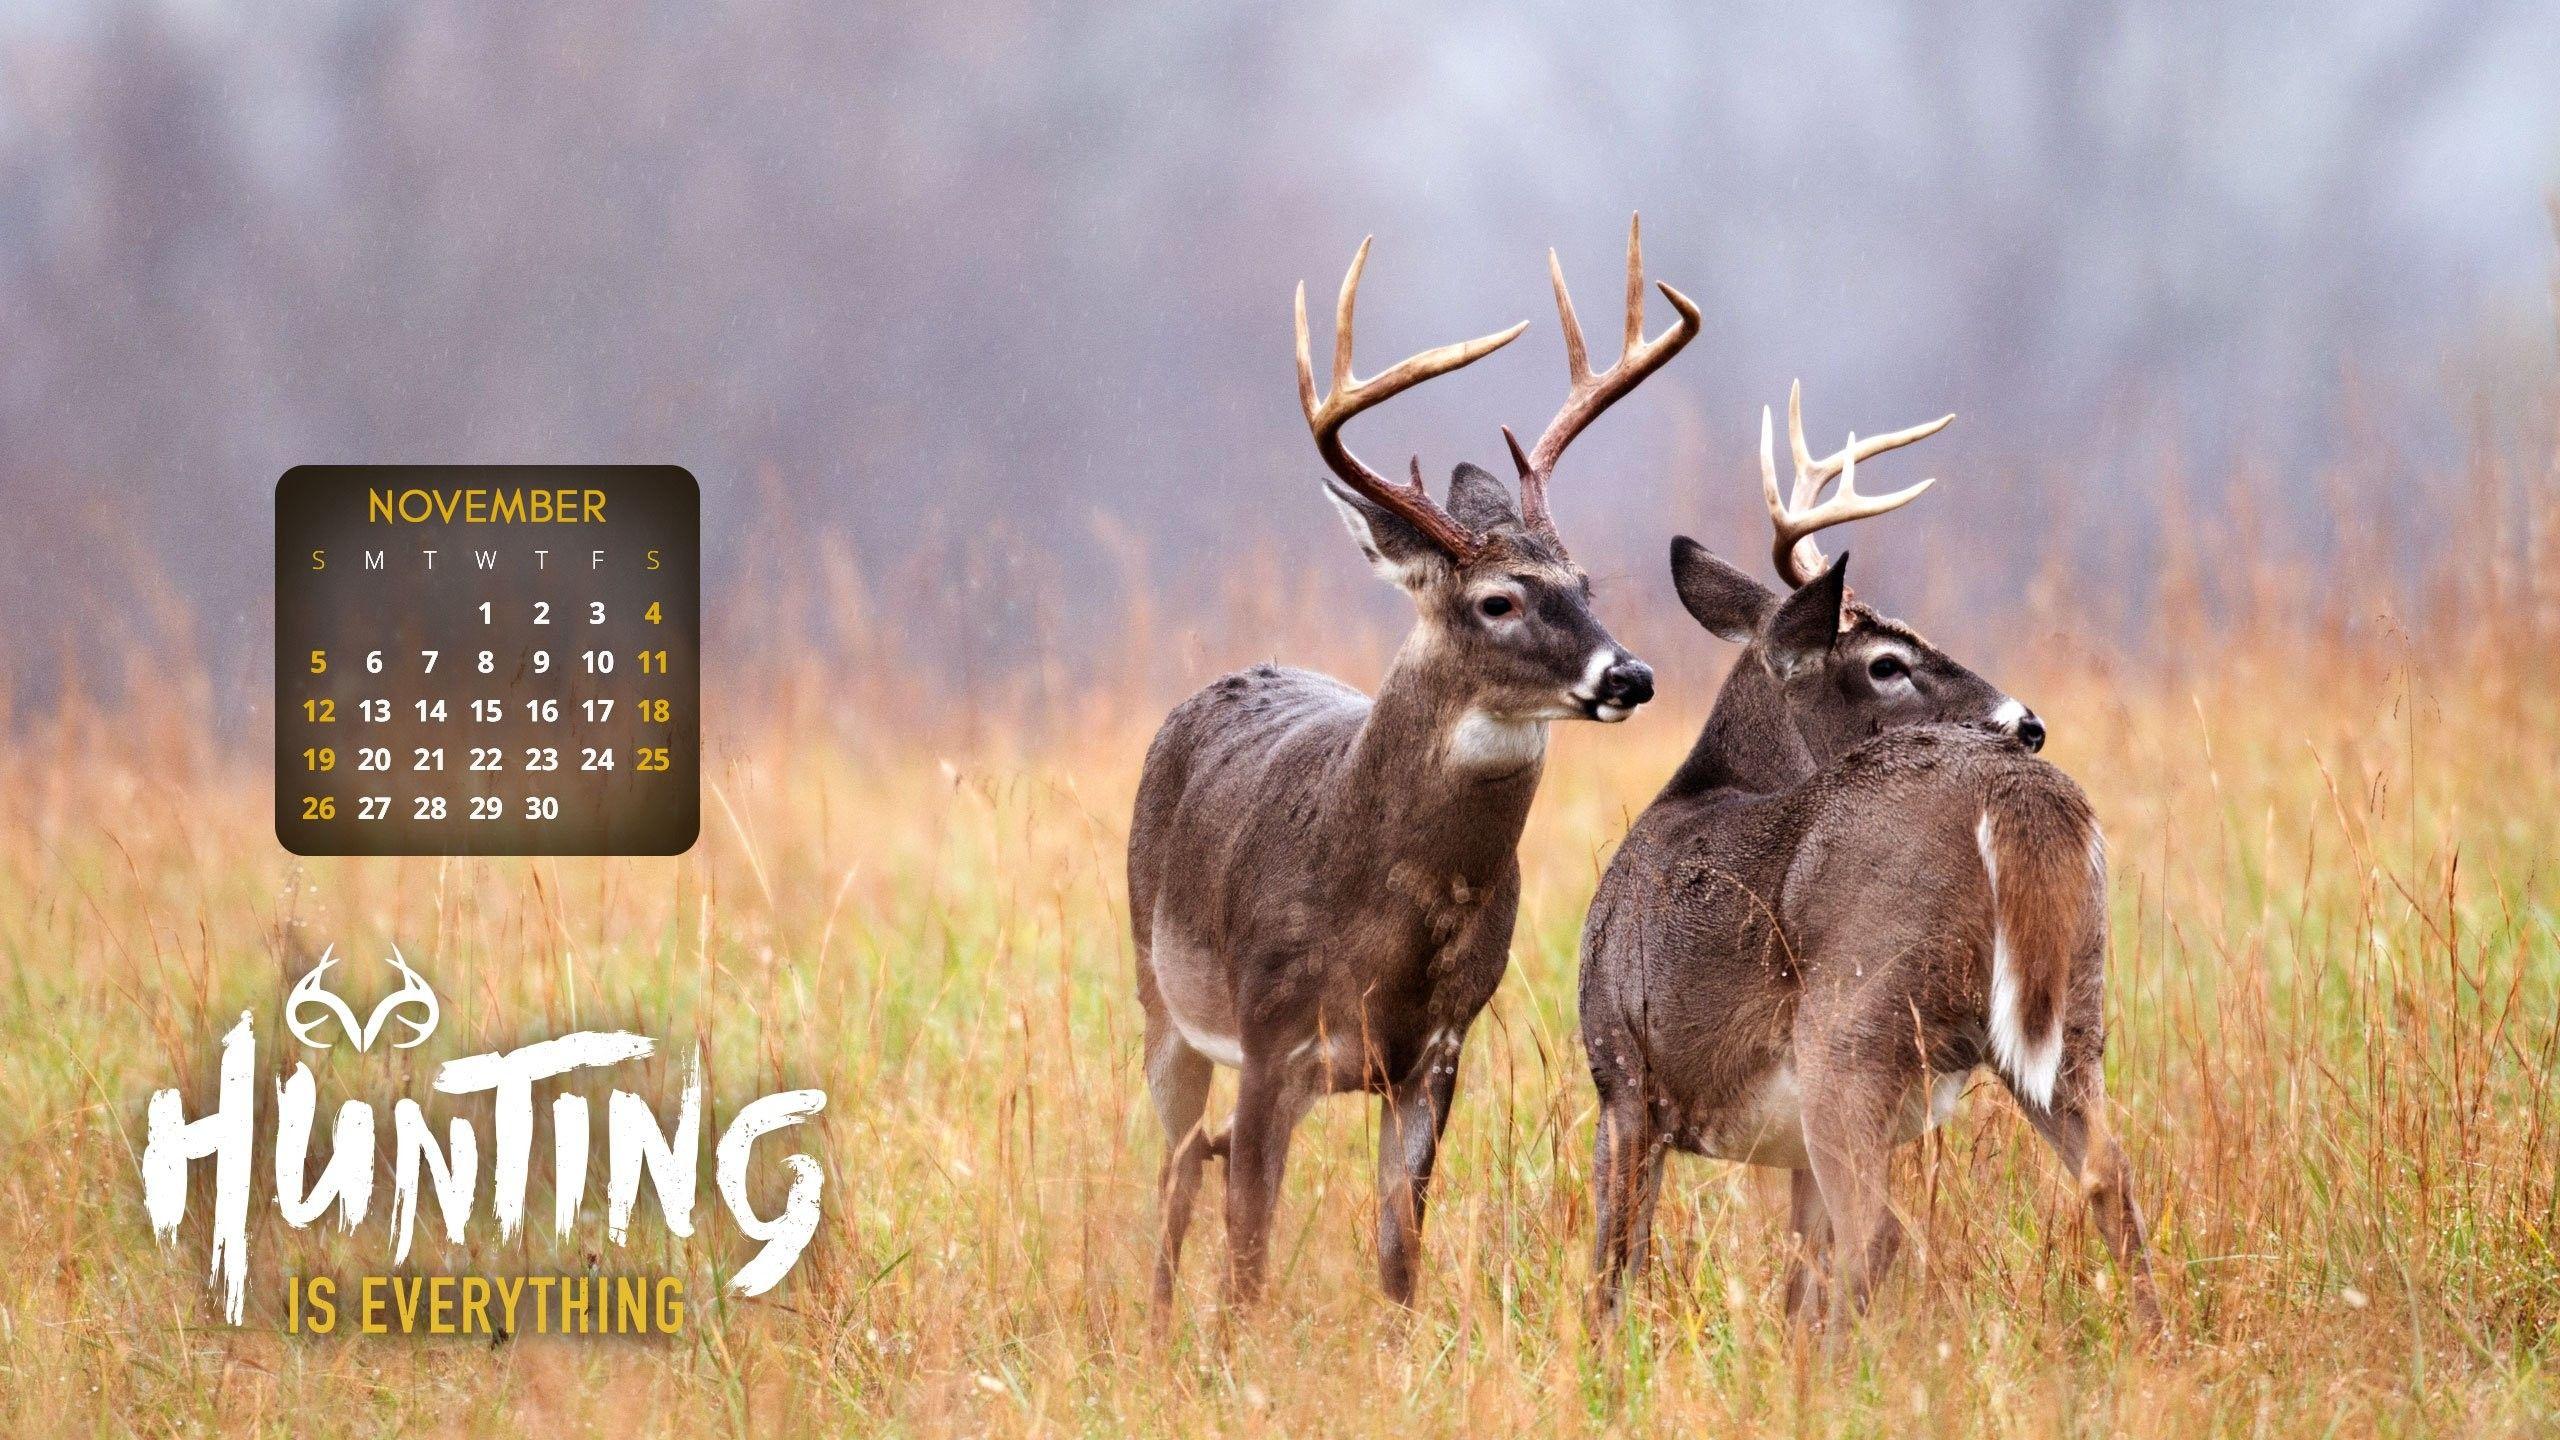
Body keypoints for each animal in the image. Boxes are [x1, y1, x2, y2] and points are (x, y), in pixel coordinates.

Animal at [1129, 219, 1698, 1315]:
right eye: (1497, 601)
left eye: (1586, 583)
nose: (1631, 673)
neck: (1389, 918)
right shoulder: (1270, 1035)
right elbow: (1249, 1249)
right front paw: (1232, 1351)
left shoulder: (1437, 1048)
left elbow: (1399, 1253)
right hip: (1159, 993)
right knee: (1171, 1168)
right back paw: (1153, 1317)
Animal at [1576, 384, 2163, 1339]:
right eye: (1888, 661)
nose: (2027, 721)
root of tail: (2016, 793)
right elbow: (1792, 1281)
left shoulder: (1623, 1070)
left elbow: (1611, 1268)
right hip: (2073, 1008)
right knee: (2111, 1177)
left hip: (1852, 1025)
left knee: (1879, 1235)